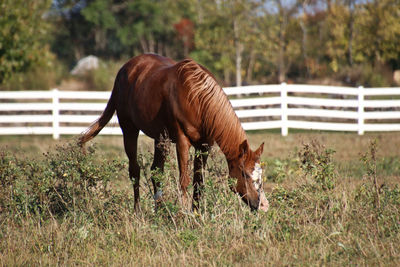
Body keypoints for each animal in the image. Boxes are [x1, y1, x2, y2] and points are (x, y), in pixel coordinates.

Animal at [79, 54, 268, 214]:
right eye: (245, 174)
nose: (262, 205)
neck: (196, 98)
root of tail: (124, 70)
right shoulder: (182, 141)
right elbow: (184, 180)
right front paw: (184, 214)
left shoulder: (204, 145)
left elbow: (198, 181)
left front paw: (196, 213)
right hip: (129, 130)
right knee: (135, 171)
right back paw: (138, 212)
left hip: (160, 138)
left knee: (156, 171)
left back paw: (159, 210)